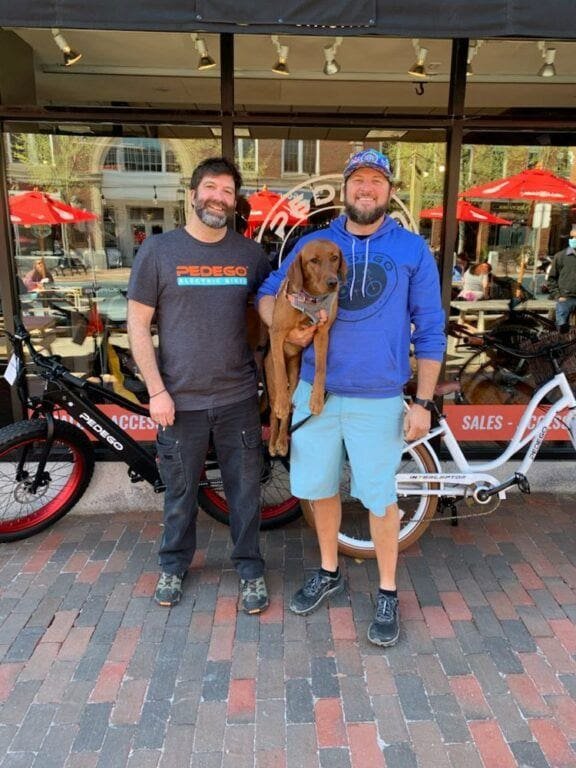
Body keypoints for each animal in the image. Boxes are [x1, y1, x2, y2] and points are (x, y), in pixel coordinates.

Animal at [266, 238, 346, 456]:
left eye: (334, 258)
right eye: (314, 261)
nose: (333, 283)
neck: (311, 299)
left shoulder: (322, 333)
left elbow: (320, 368)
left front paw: (317, 399)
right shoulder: (276, 333)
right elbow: (280, 369)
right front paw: (282, 403)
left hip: (295, 376)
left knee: (287, 411)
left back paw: (282, 443)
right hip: (271, 381)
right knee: (274, 411)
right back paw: (273, 440)